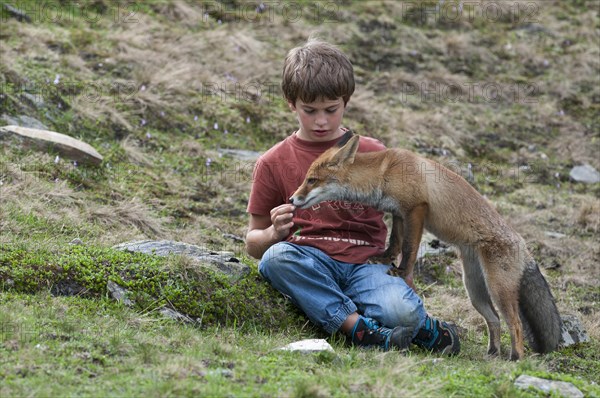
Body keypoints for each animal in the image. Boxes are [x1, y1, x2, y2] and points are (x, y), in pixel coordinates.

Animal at [290, 131, 564, 360]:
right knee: (494, 320)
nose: (292, 199)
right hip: (475, 290)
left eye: (312, 180)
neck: (383, 173)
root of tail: (525, 248)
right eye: (305, 179)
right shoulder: (398, 213)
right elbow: (395, 242)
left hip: (498, 290)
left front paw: (402, 272)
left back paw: (515, 358)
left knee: (515, 324)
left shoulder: (416, 209)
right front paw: (383, 259)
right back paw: (493, 353)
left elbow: (409, 248)